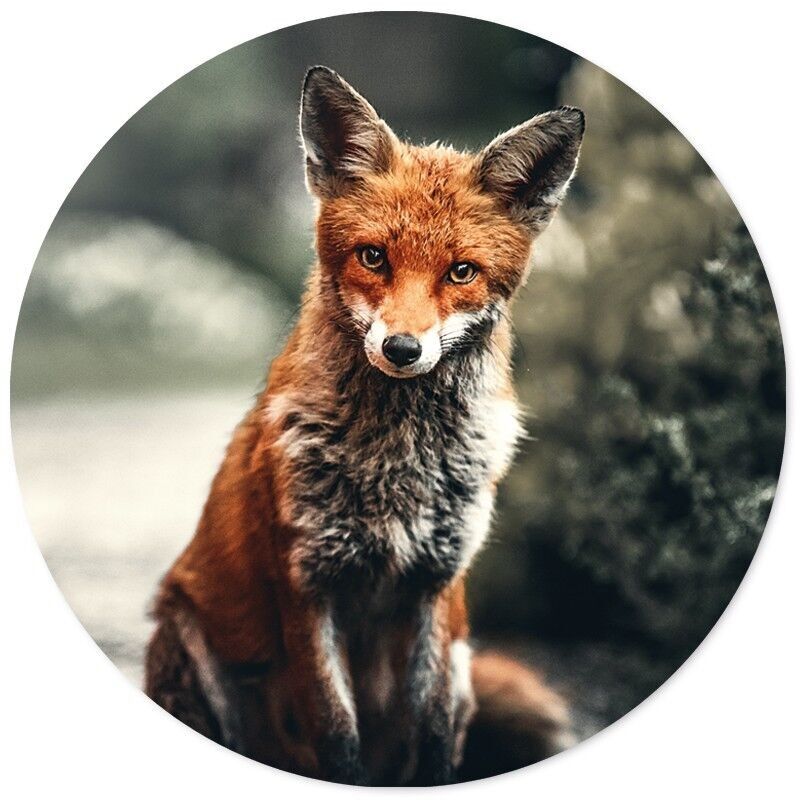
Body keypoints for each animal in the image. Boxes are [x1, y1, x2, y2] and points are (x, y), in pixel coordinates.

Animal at [144, 66, 584, 785]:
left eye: (461, 271)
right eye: (373, 257)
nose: (403, 348)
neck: (396, 464)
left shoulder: (436, 585)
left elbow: (432, 735)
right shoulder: (307, 584)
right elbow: (336, 735)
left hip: (463, 661)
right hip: (188, 642)